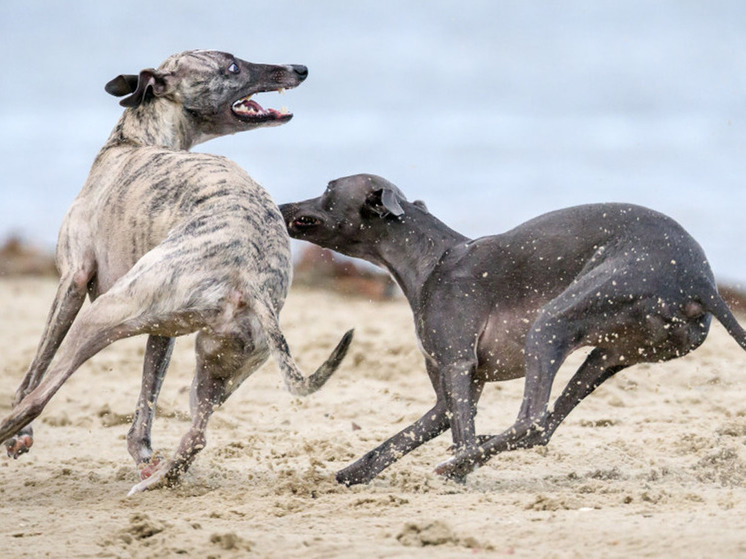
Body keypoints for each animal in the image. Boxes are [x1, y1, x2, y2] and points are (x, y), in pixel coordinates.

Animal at [0, 49, 352, 494]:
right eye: (232, 65)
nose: (300, 70)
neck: (137, 141)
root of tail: (251, 274)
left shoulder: (74, 280)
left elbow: (34, 371)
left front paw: (20, 440)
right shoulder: (163, 330)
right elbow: (146, 404)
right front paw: (144, 458)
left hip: (106, 313)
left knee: (37, 399)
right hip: (217, 362)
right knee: (197, 435)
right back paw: (156, 479)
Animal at [280, 175, 744, 486]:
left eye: (328, 188)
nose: (281, 207)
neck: (431, 259)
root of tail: (701, 282)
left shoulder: (458, 364)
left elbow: (459, 434)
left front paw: (458, 474)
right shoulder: (450, 392)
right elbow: (404, 437)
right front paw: (350, 473)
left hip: (553, 322)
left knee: (532, 422)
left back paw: (461, 463)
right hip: (609, 354)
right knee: (546, 427)